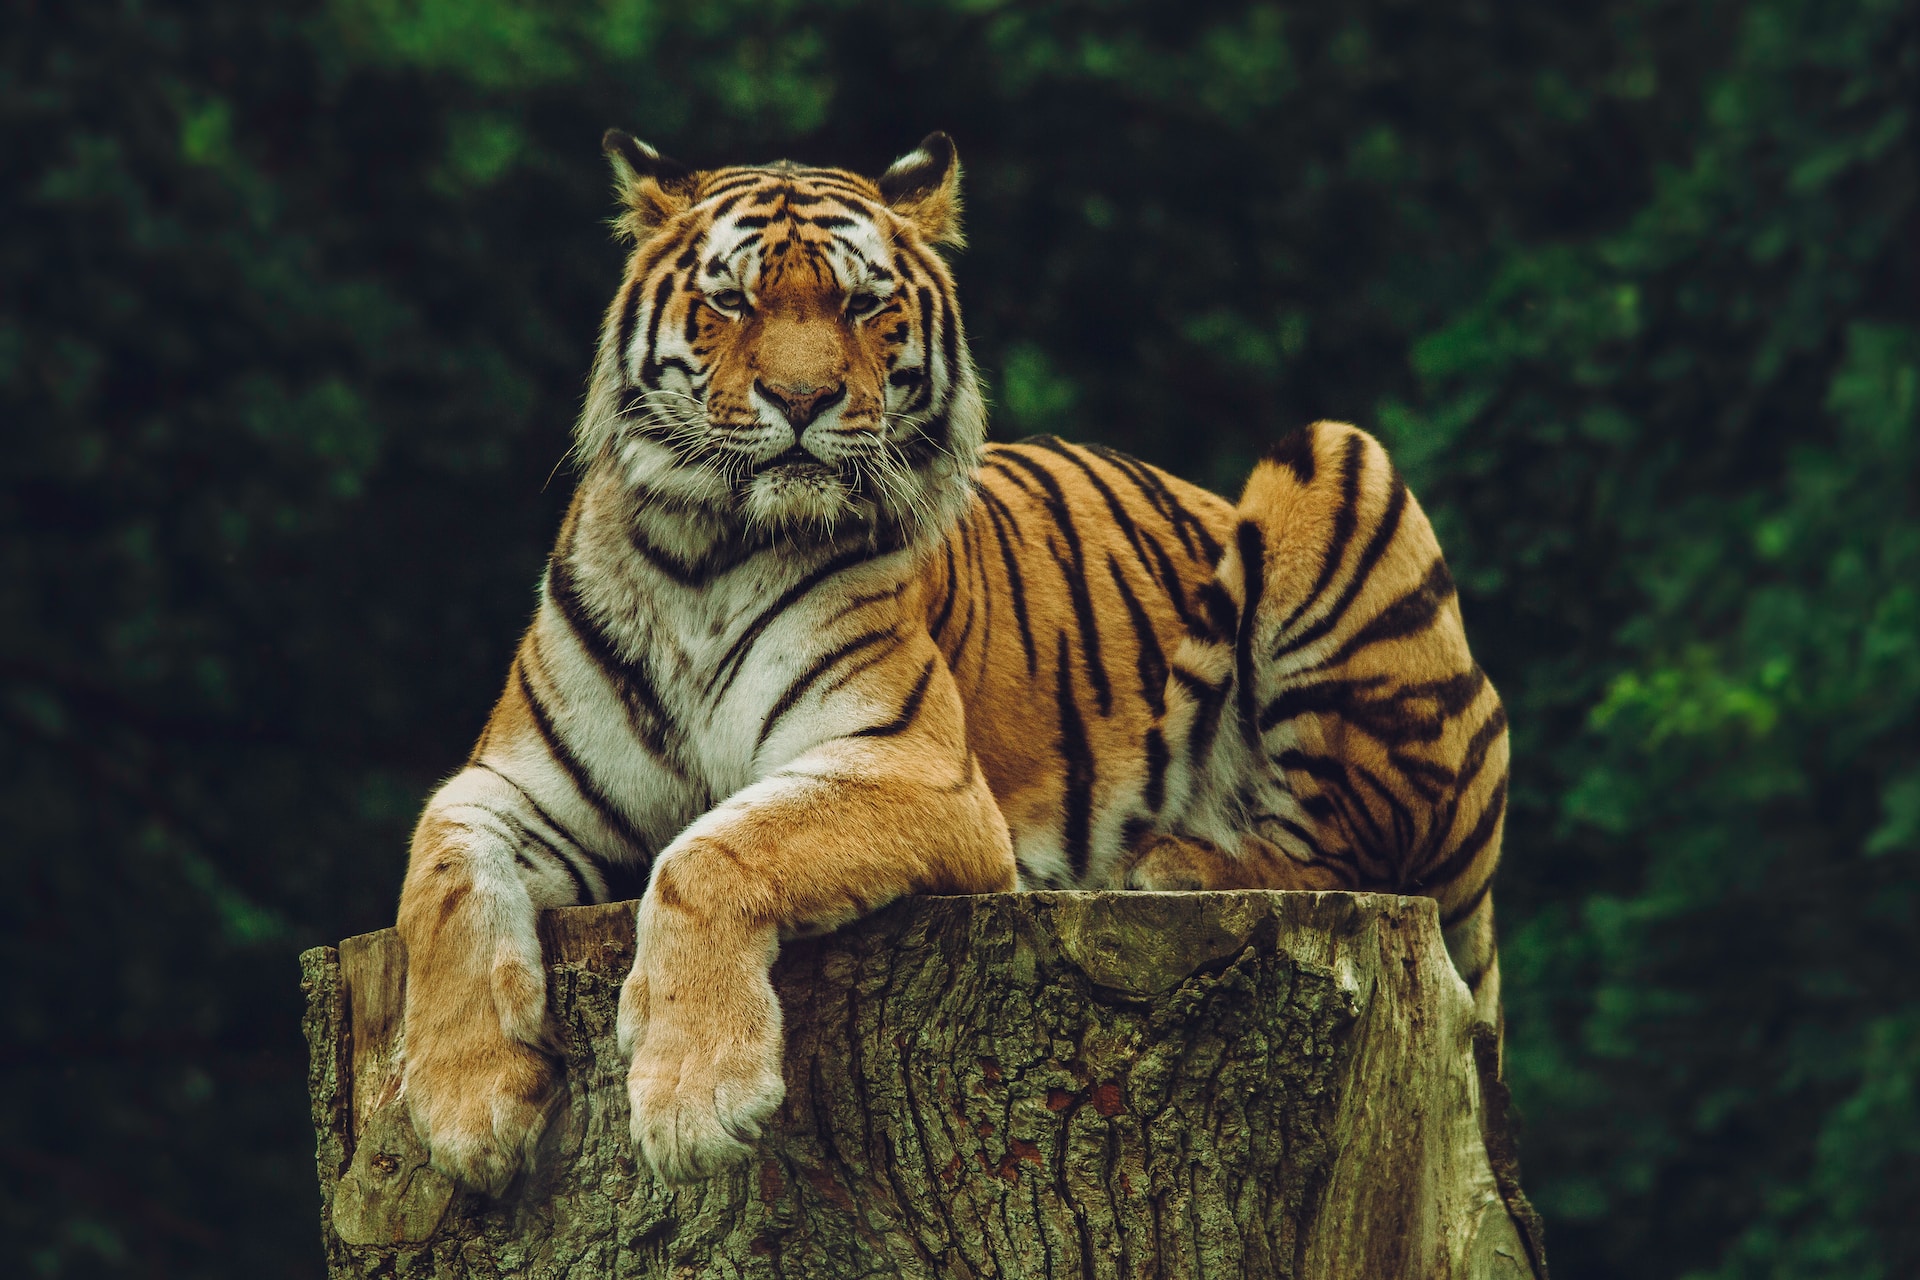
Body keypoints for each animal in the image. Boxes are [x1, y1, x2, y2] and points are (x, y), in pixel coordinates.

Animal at [397, 130, 1505, 1189]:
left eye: (862, 301)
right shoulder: (516, 783)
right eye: (732, 299)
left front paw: (695, 1100)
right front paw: (467, 1110)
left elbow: (709, 851)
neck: (702, 557)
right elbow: (440, 881)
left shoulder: (912, 766)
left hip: (1337, 460)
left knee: (1354, 848)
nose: (801, 397)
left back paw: (1173, 861)